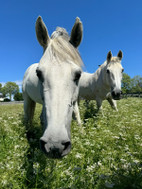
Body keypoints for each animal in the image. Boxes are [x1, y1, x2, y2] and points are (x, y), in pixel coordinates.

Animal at [22, 16, 83, 158]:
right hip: (27, 99)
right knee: (28, 117)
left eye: (78, 74)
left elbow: (77, 116)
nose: (55, 146)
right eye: (38, 73)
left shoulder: (74, 101)